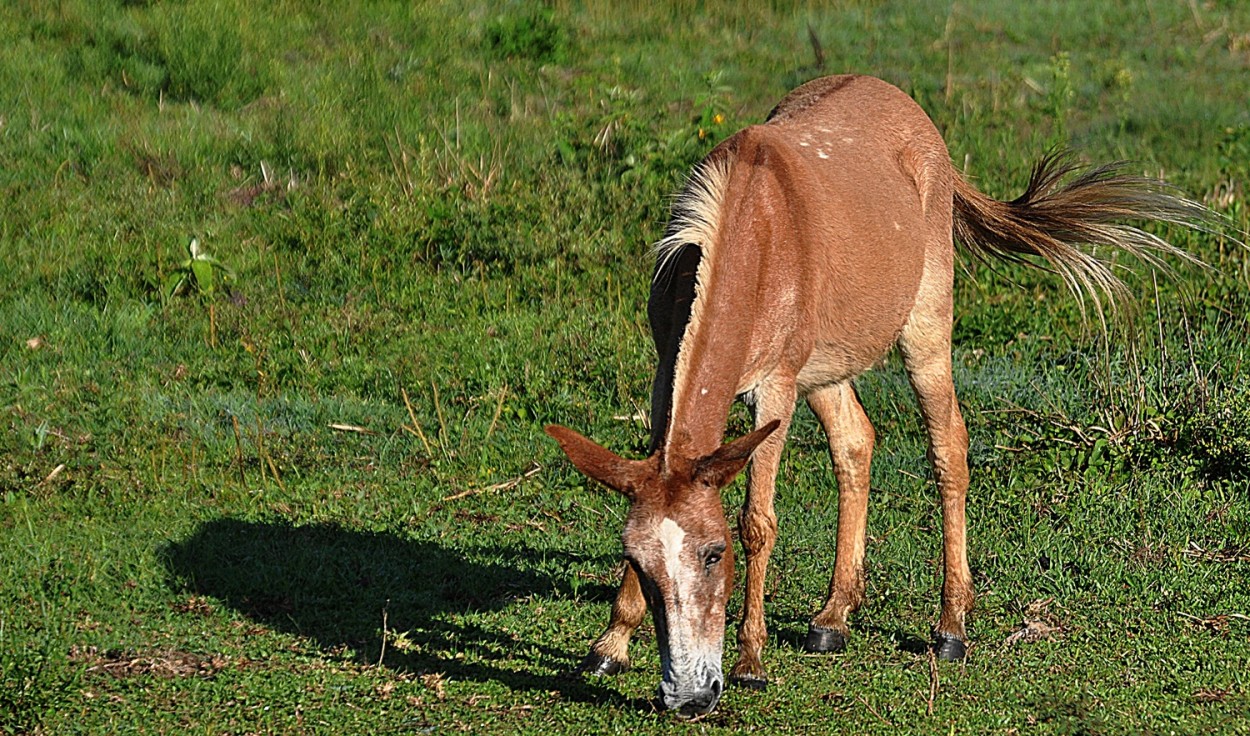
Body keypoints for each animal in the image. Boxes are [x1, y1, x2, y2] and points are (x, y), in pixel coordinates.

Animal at [545, 71, 1210, 714]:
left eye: (714, 553)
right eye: (639, 561)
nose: (688, 696)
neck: (752, 233)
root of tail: (918, 120)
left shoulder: (774, 391)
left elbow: (759, 520)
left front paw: (751, 662)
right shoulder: (667, 376)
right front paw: (610, 645)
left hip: (923, 332)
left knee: (949, 450)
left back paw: (950, 628)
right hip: (827, 368)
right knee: (856, 444)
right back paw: (833, 617)